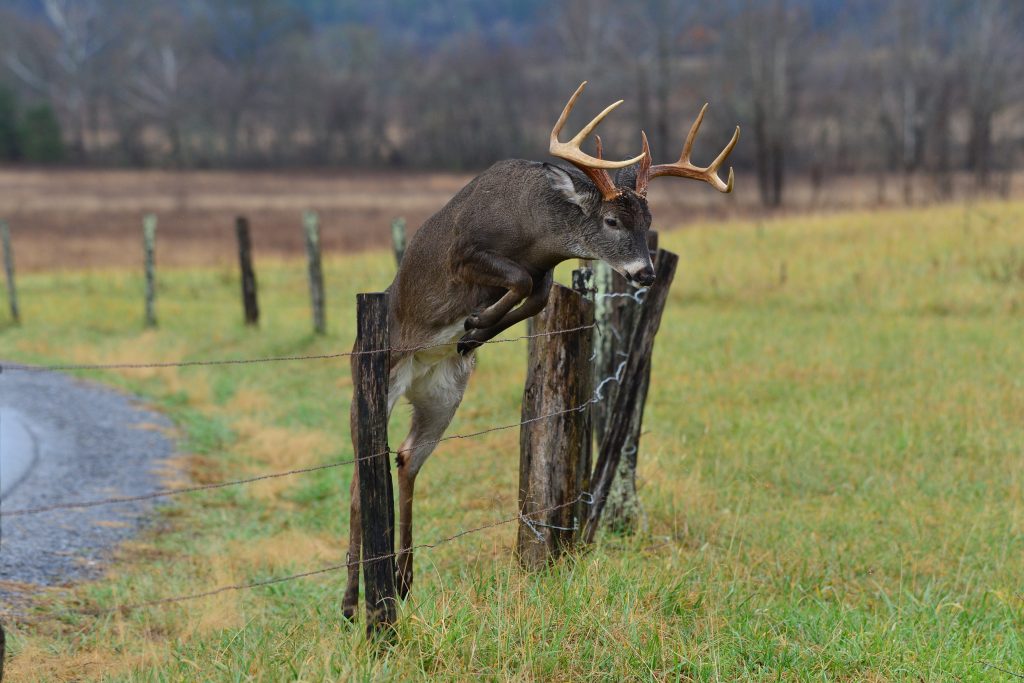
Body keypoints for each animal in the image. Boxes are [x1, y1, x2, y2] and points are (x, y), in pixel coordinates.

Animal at [342, 81, 737, 618]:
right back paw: (349, 601)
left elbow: (539, 293)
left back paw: (403, 579)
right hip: (375, 377)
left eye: (649, 220)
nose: (646, 273)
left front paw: (474, 330)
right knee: (360, 474)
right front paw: (475, 322)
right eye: (612, 221)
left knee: (406, 458)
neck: (535, 231)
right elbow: (519, 279)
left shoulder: (547, 271)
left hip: (444, 394)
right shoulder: (465, 252)